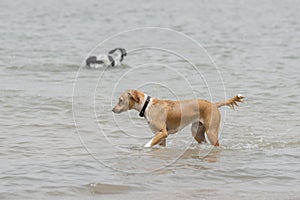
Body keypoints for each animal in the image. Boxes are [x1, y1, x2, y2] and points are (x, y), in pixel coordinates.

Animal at [111, 90, 245, 147]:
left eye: (120, 100)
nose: (112, 109)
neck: (147, 105)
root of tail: (214, 104)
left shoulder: (162, 133)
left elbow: (147, 145)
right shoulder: (161, 137)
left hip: (211, 132)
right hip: (197, 132)